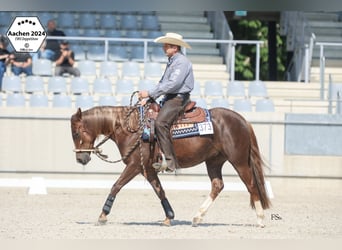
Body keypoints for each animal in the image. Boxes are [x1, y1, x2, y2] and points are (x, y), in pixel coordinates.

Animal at [71, 101, 272, 227]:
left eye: (76, 133)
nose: (81, 159)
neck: (131, 128)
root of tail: (242, 120)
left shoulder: (134, 165)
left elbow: (116, 186)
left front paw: (102, 215)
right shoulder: (147, 169)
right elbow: (159, 190)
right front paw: (169, 217)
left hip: (239, 161)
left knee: (251, 185)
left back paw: (260, 219)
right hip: (214, 161)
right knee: (218, 185)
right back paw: (197, 217)